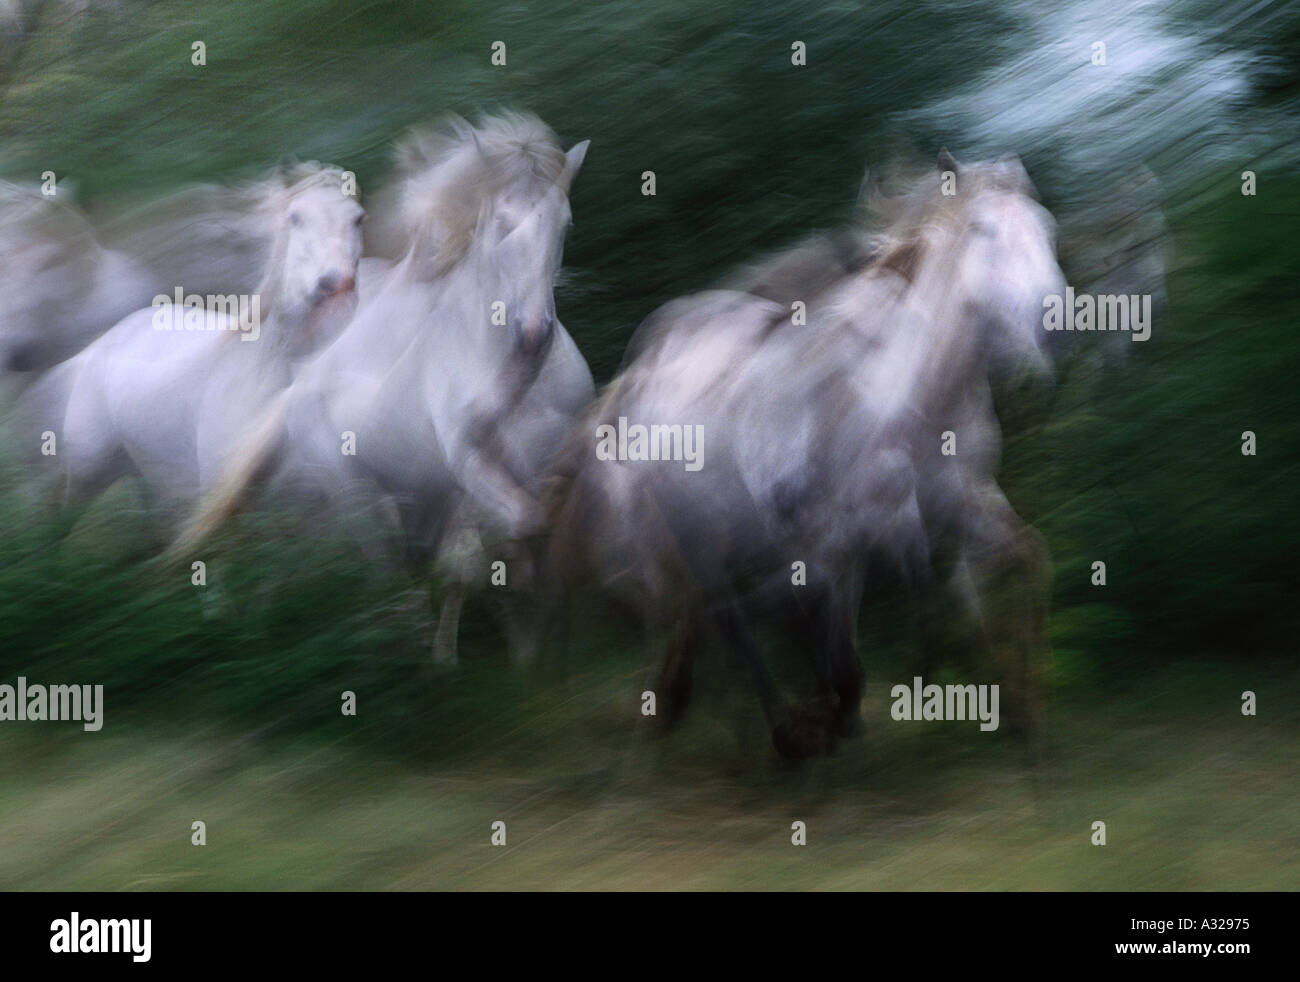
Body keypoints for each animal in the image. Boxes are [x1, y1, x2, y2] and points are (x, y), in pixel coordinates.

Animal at [548, 151, 1066, 759]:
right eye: (983, 229)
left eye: (1047, 228)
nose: (1054, 327)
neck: (917, 400)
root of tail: (639, 372)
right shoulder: (861, 531)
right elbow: (901, 625)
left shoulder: (960, 500)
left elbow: (1018, 562)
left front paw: (1028, 717)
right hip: (705, 544)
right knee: (732, 624)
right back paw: (782, 733)